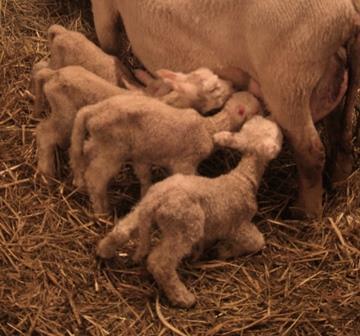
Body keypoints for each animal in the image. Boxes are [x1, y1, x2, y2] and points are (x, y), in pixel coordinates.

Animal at [69, 91, 262, 213]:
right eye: (257, 111)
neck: (209, 128)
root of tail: (93, 111)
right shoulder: (185, 163)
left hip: (101, 141)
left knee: (84, 150)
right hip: (113, 149)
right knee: (95, 178)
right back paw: (102, 211)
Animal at [96, 115, 284, 308]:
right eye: (277, 133)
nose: (269, 117)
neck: (244, 178)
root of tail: (158, 199)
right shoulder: (238, 224)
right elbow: (257, 242)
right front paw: (225, 250)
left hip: (144, 205)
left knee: (122, 229)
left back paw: (104, 251)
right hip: (185, 226)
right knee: (160, 263)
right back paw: (182, 297)